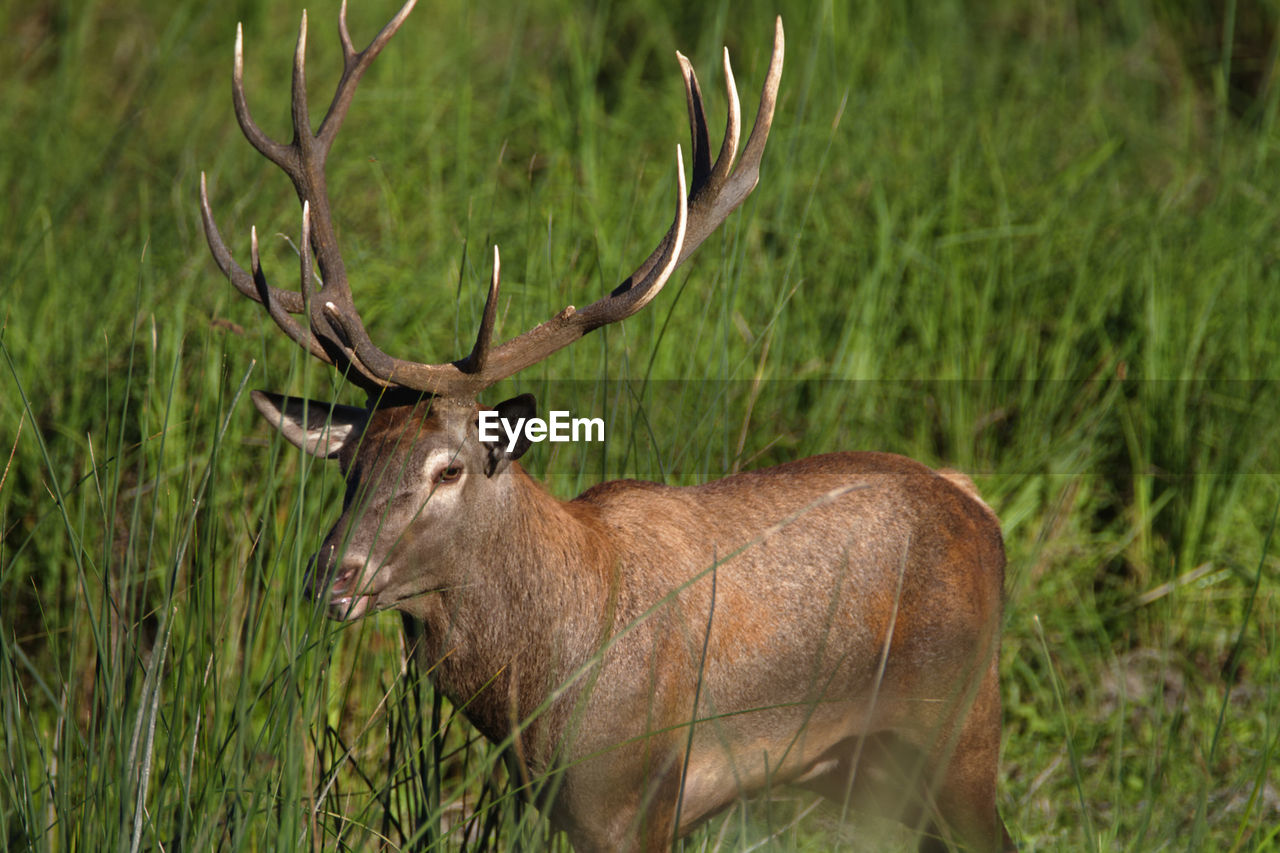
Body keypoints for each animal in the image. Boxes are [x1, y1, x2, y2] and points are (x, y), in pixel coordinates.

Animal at [199, 3, 1013, 845]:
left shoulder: (635, 799)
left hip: (960, 731)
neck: (544, 692)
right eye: (348, 463)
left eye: (447, 468)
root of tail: (977, 504)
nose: (332, 573)